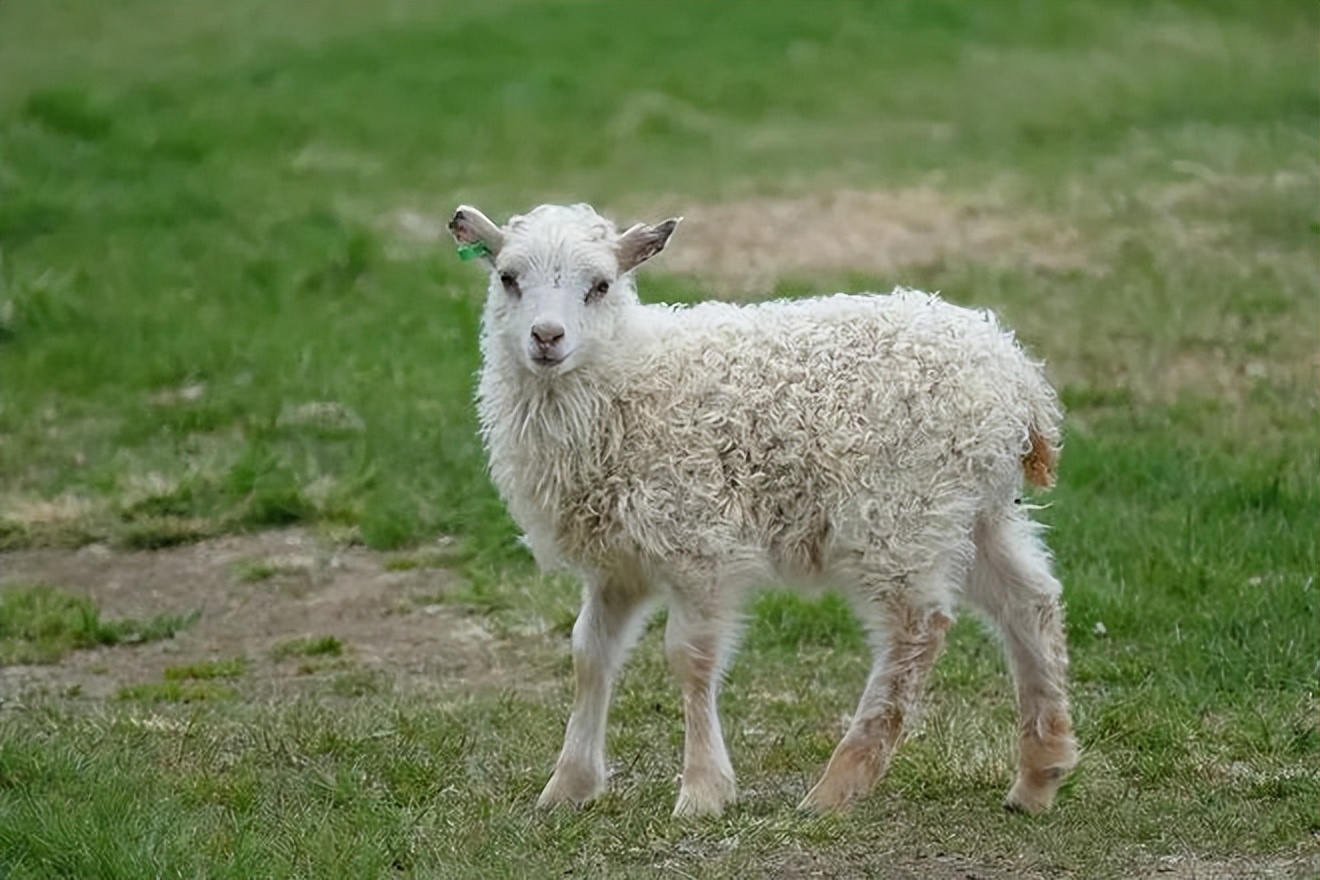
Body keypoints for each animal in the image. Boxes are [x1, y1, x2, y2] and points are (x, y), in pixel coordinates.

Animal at [448, 201, 1077, 817]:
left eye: (601, 286)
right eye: (507, 278)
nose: (546, 337)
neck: (630, 377)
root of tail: (1021, 379)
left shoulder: (699, 540)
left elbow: (690, 656)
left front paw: (702, 791)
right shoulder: (618, 562)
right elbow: (589, 654)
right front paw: (568, 786)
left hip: (901, 510)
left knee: (917, 631)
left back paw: (839, 783)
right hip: (972, 509)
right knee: (1029, 602)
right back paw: (1037, 776)